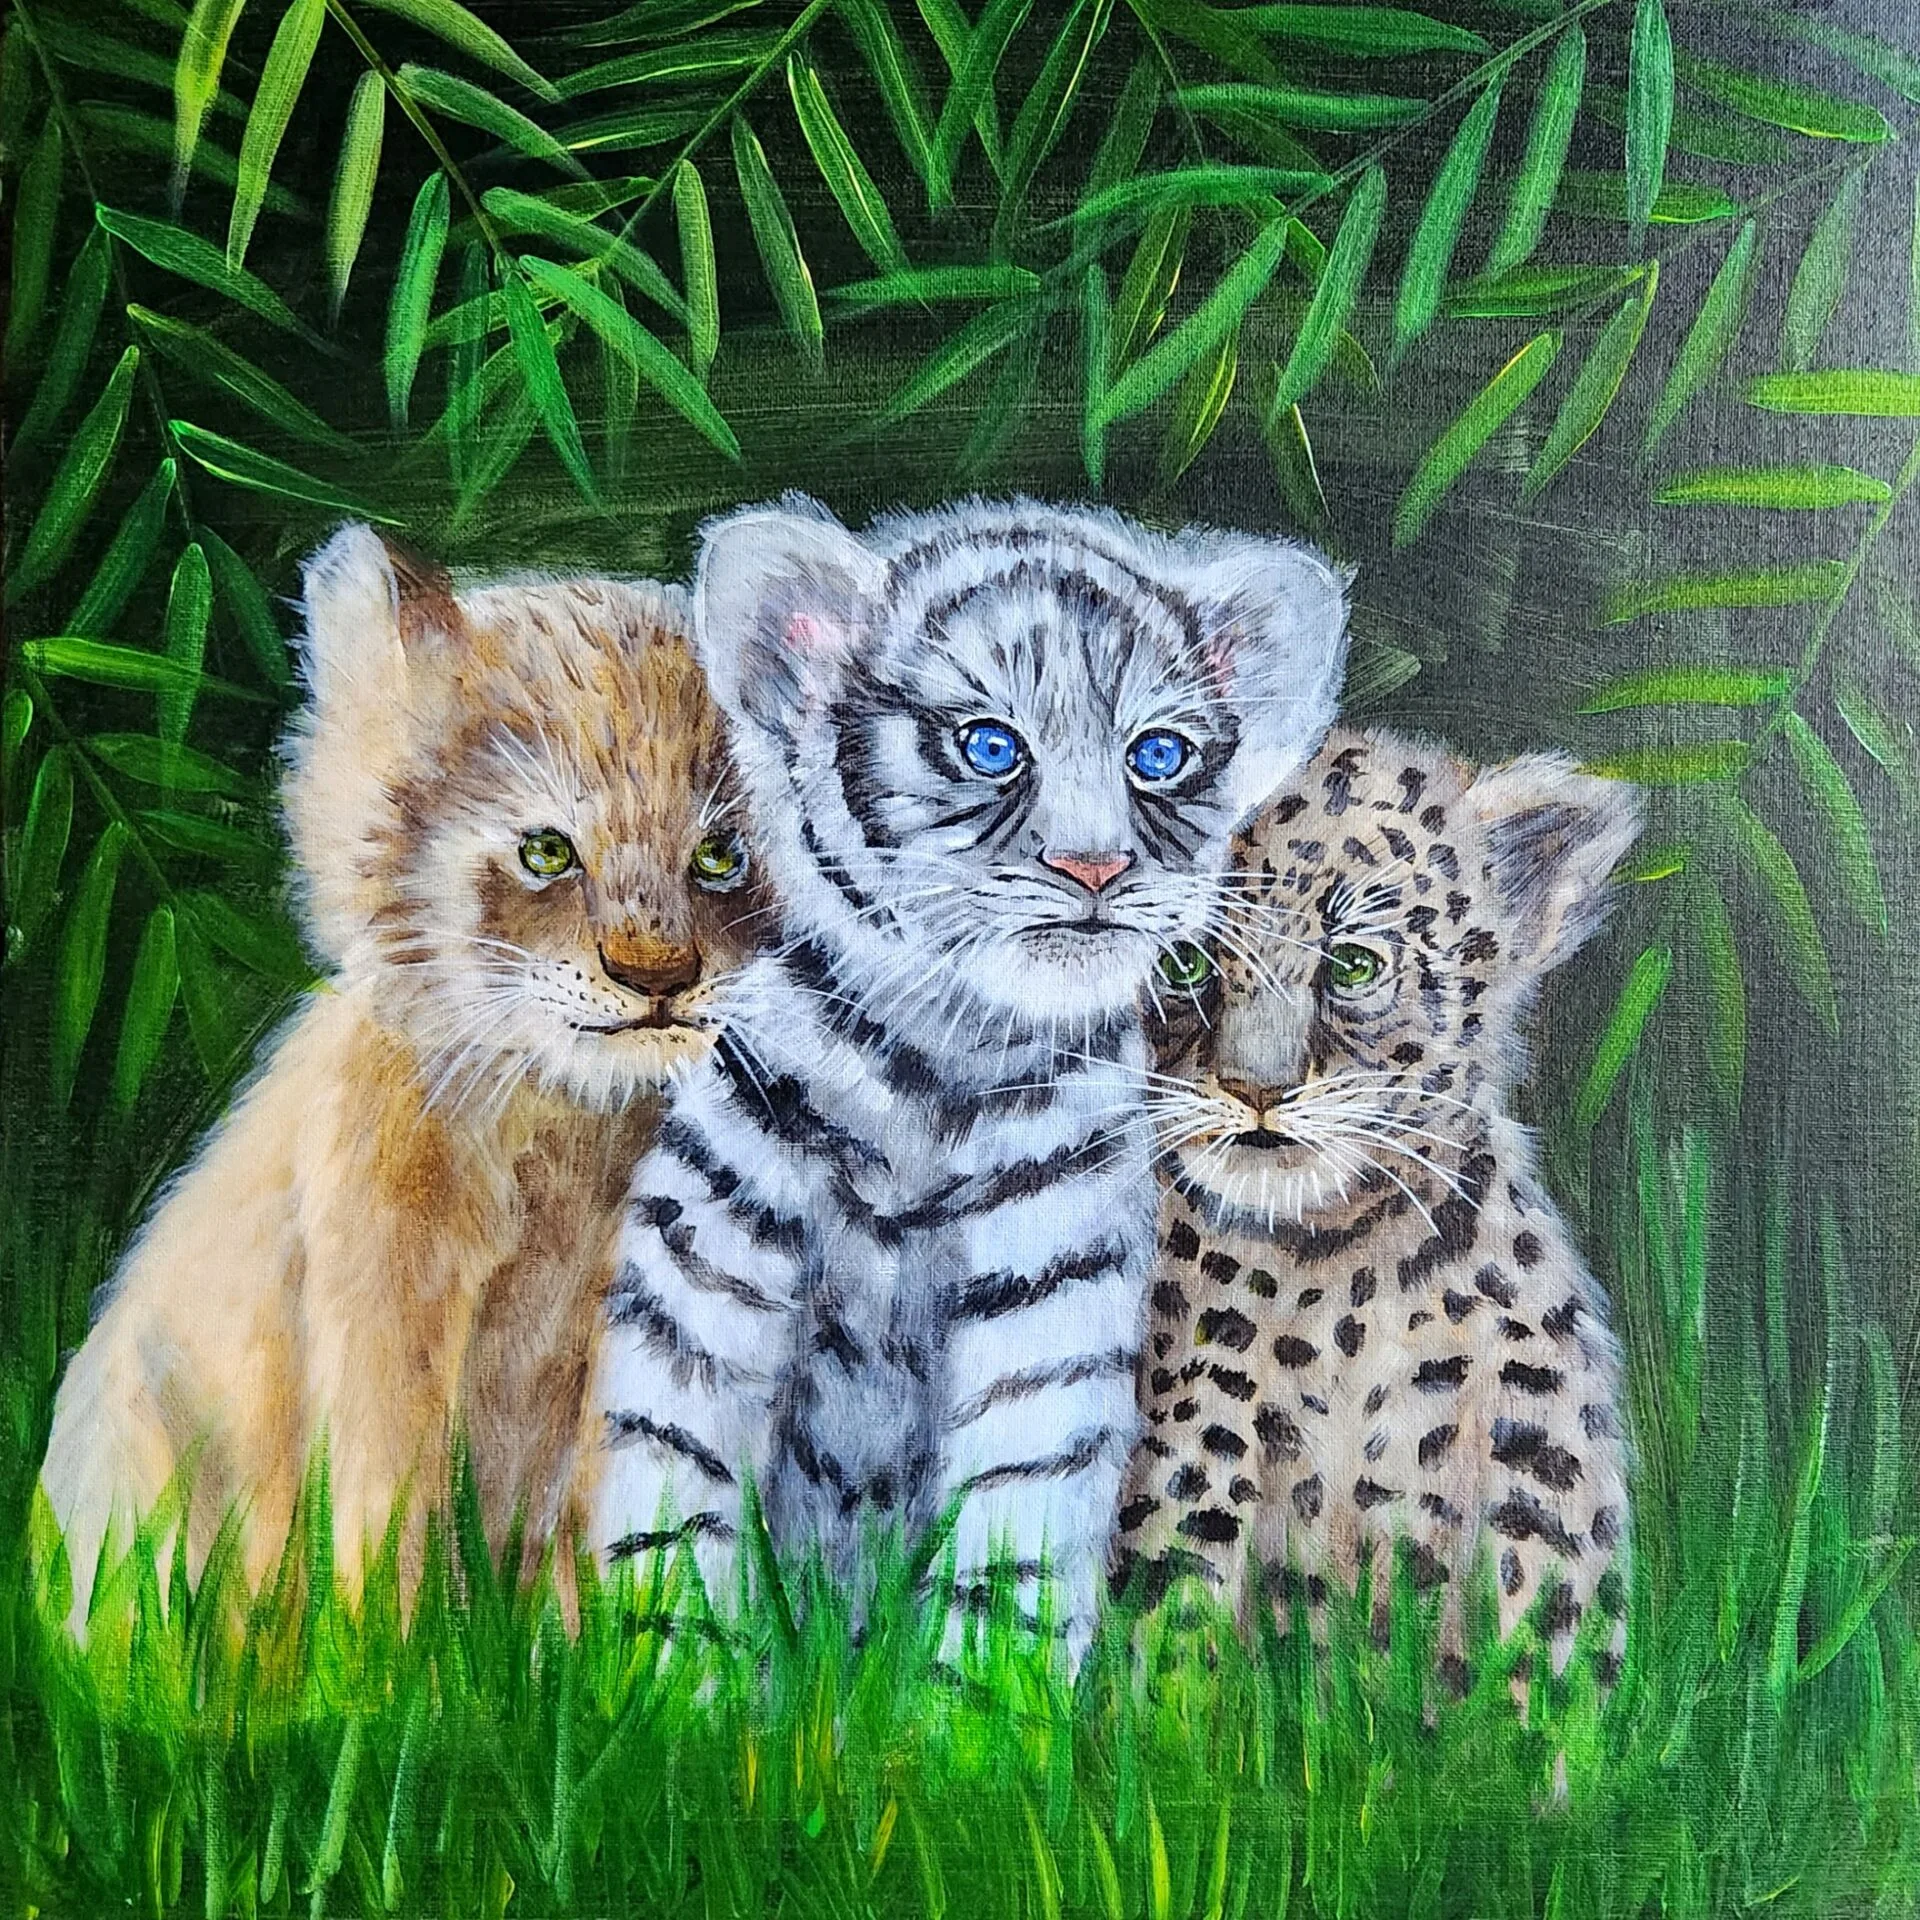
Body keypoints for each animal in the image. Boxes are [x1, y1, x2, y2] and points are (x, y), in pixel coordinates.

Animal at [1112, 724, 1642, 1695]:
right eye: (1180, 961)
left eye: (1353, 964)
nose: (1256, 1089)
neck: (1338, 1268)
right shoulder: (1190, 1436)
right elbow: (1172, 1640)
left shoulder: (1536, 1452)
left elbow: (1540, 1657)